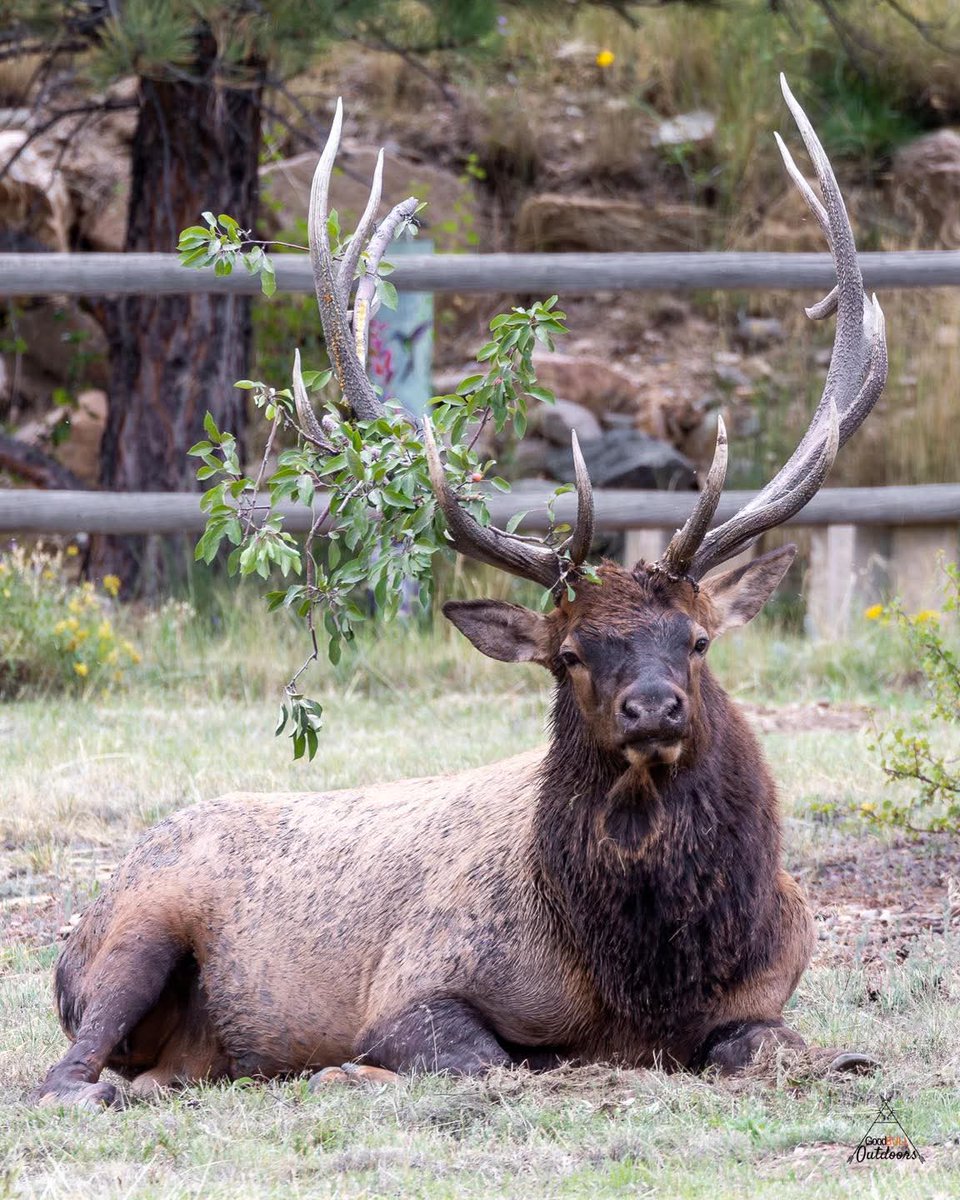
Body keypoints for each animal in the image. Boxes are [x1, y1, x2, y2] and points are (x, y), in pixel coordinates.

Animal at [34, 76, 887, 1108]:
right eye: (568, 657)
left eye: (699, 639)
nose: (652, 708)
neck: (642, 979)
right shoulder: (416, 982)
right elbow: (497, 1062)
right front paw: (356, 1068)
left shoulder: (769, 991)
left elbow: (786, 1048)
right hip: (138, 927)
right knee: (64, 1075)